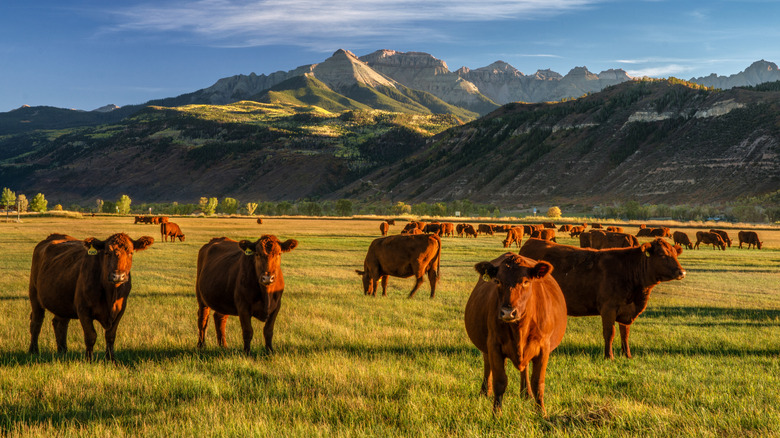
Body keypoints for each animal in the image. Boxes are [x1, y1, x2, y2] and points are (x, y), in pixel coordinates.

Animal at [465, 253, 567, 415]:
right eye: (498, 281)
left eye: (525, 281)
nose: (508, 312)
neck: (519, 329)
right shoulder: (494, 345)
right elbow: (500, 381)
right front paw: (496, 413)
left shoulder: (544, 347)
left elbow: (538, 382)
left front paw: (541, 412)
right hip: (486, 346)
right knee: (487, 365)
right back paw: (485, 392)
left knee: (525, 369)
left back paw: (526, 394)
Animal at [519, 238, 685, 359]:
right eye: (662, 254)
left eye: (675, 254)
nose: (682, 272)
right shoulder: (608, 308)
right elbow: (609, 333)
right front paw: (609, 356)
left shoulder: (625, 309)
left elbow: (625, 334)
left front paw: (627, 355)